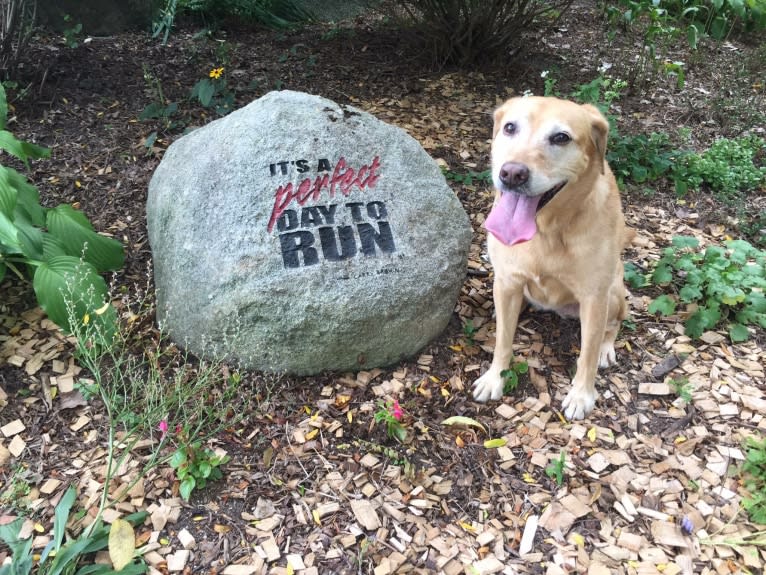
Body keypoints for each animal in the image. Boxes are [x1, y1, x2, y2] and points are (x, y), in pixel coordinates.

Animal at [476, 94, 632, 418]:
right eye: (510, 127)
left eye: (561, 137)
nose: (512, 173)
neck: (546, 230)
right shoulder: (506, 281)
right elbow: (502, 341)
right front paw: (495, 377)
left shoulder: (594, 298)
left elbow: (587, 354)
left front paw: (581, 395)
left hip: (613, 294)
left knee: (613, 325)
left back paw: (607, 347)